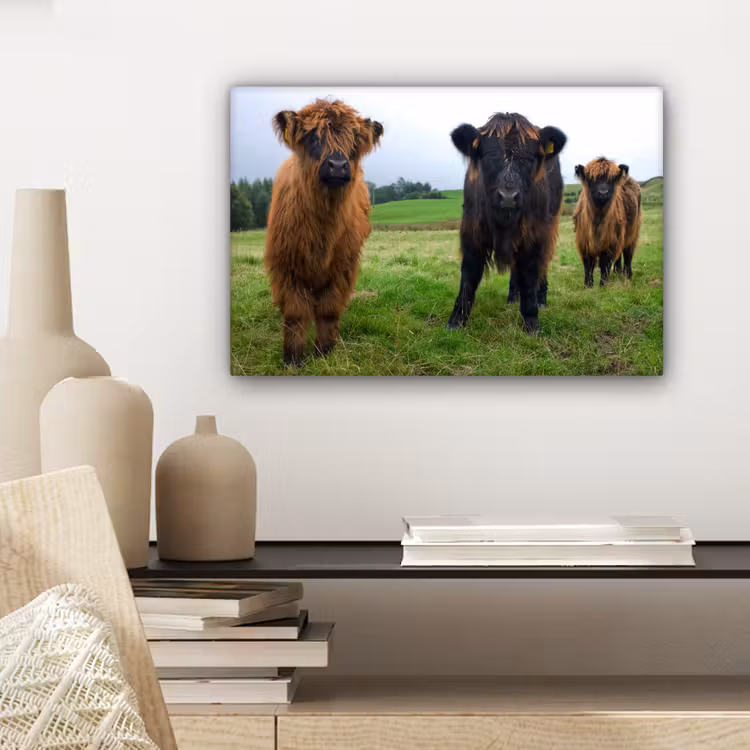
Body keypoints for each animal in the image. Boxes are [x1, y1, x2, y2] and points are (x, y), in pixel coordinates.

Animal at [264, 98, 383, 367]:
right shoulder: (287, 268)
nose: (338, 166)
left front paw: (324, 352)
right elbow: (295, 314)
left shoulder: (342, 269)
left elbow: (329, 311)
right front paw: (293, 359)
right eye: (313, 137)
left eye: (354, 140)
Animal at [447, 112, 567, 334]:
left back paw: (541, 299)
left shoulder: (535, 234)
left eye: (530, 158)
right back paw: (512, 297)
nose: (508, 197)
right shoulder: (471, 231)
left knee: (543, 264)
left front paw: (531, 322)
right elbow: (469, 275)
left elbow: (530, 274)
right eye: (487, 156)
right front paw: (456, 321)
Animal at [572, 157, 642, 287]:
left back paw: (628, 276)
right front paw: (588, 284)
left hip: (632, 232)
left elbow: (605, 263)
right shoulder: (584, 241)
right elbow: (588, 264)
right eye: (592, 179)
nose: (603, 193)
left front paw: (603, 284)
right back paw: (618, 272)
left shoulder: (610, 241)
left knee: (628, 254)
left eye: (611, 179)